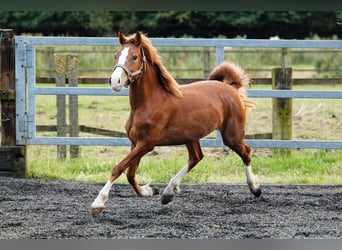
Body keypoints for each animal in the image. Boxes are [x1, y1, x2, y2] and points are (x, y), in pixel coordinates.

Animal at [89, 31, 260, 215]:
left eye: (134, 56)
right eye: (116, 55)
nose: (115, 81)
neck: (148, 103)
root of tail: (232, 88)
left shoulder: (146, 144)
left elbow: (119, 168)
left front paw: (98, 203)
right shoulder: (135, 142)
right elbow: (130, 174)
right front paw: (149, 191)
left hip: (231, 136)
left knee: (246, 153)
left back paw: (255, 188)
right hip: (191, 137)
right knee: (196, 157)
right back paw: (168, 192)